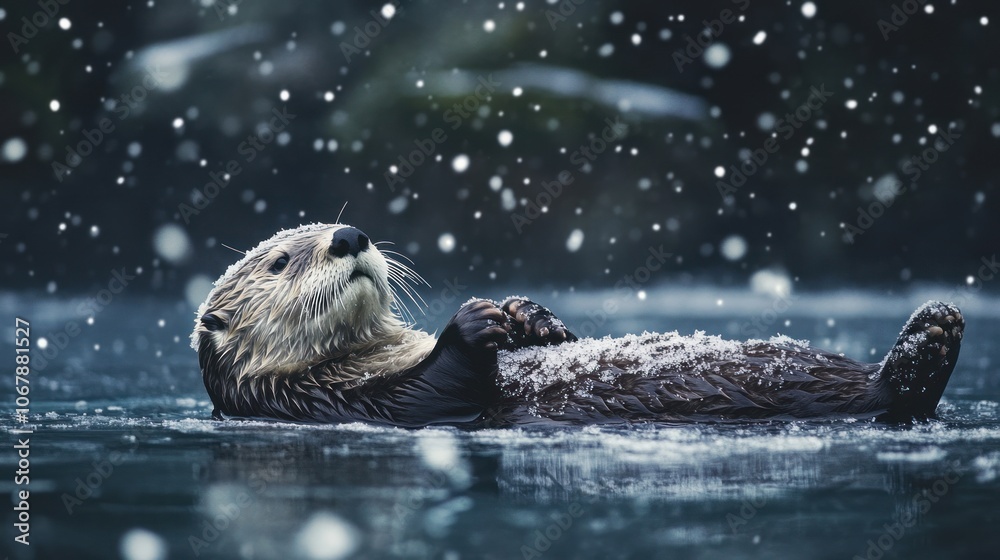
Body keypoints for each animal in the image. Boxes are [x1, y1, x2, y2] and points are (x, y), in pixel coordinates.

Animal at [191, 223, 964, 427]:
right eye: (281, 260)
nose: (349, 235)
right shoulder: (344, 401)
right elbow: (437, 391)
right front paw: (474, 322)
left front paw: (528, 315)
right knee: (893, 393)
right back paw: (926, 344)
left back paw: (938, 324)